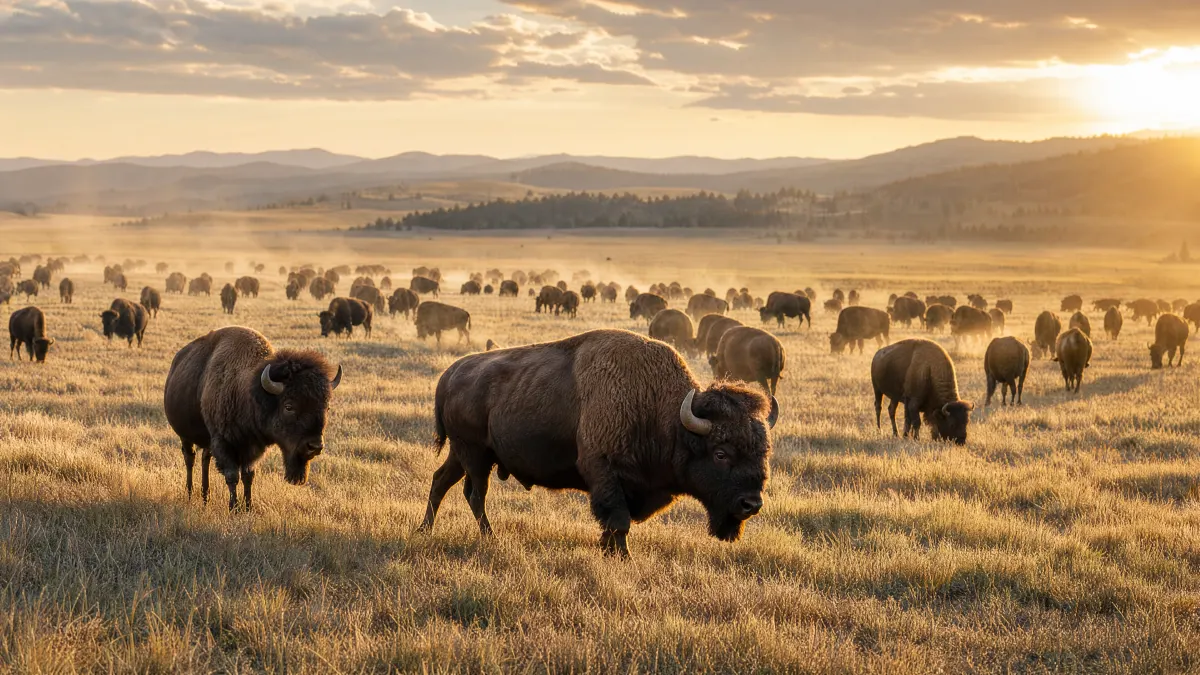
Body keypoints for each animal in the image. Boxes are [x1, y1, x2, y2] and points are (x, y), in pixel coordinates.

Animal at [163, 326, 342, 510]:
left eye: (326, 407)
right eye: (289, 406)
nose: (315, 446)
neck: (249, 391)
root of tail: (177, 359)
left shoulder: (253, 447)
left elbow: (248, 476)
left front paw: (248, 507)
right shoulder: (223, 444)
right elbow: (232, 476)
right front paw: (234, 507)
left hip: (207, 440)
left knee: (205, 458)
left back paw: (206, 497)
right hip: (185, 436)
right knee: (189, 458)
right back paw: (189, 493)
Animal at [419, 329, 778, 557]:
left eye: (763, 452)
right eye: (721, 453)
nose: (751, 504)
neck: (664, 413)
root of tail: (449, 374)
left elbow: (614, 523)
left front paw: (608, 550)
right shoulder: (604, 472)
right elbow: (618, 521)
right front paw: (622, 556)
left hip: (463, 454)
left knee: (441, 481)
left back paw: (425, 529)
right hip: (475, 454)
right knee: (474, 493)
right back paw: (489, 536)